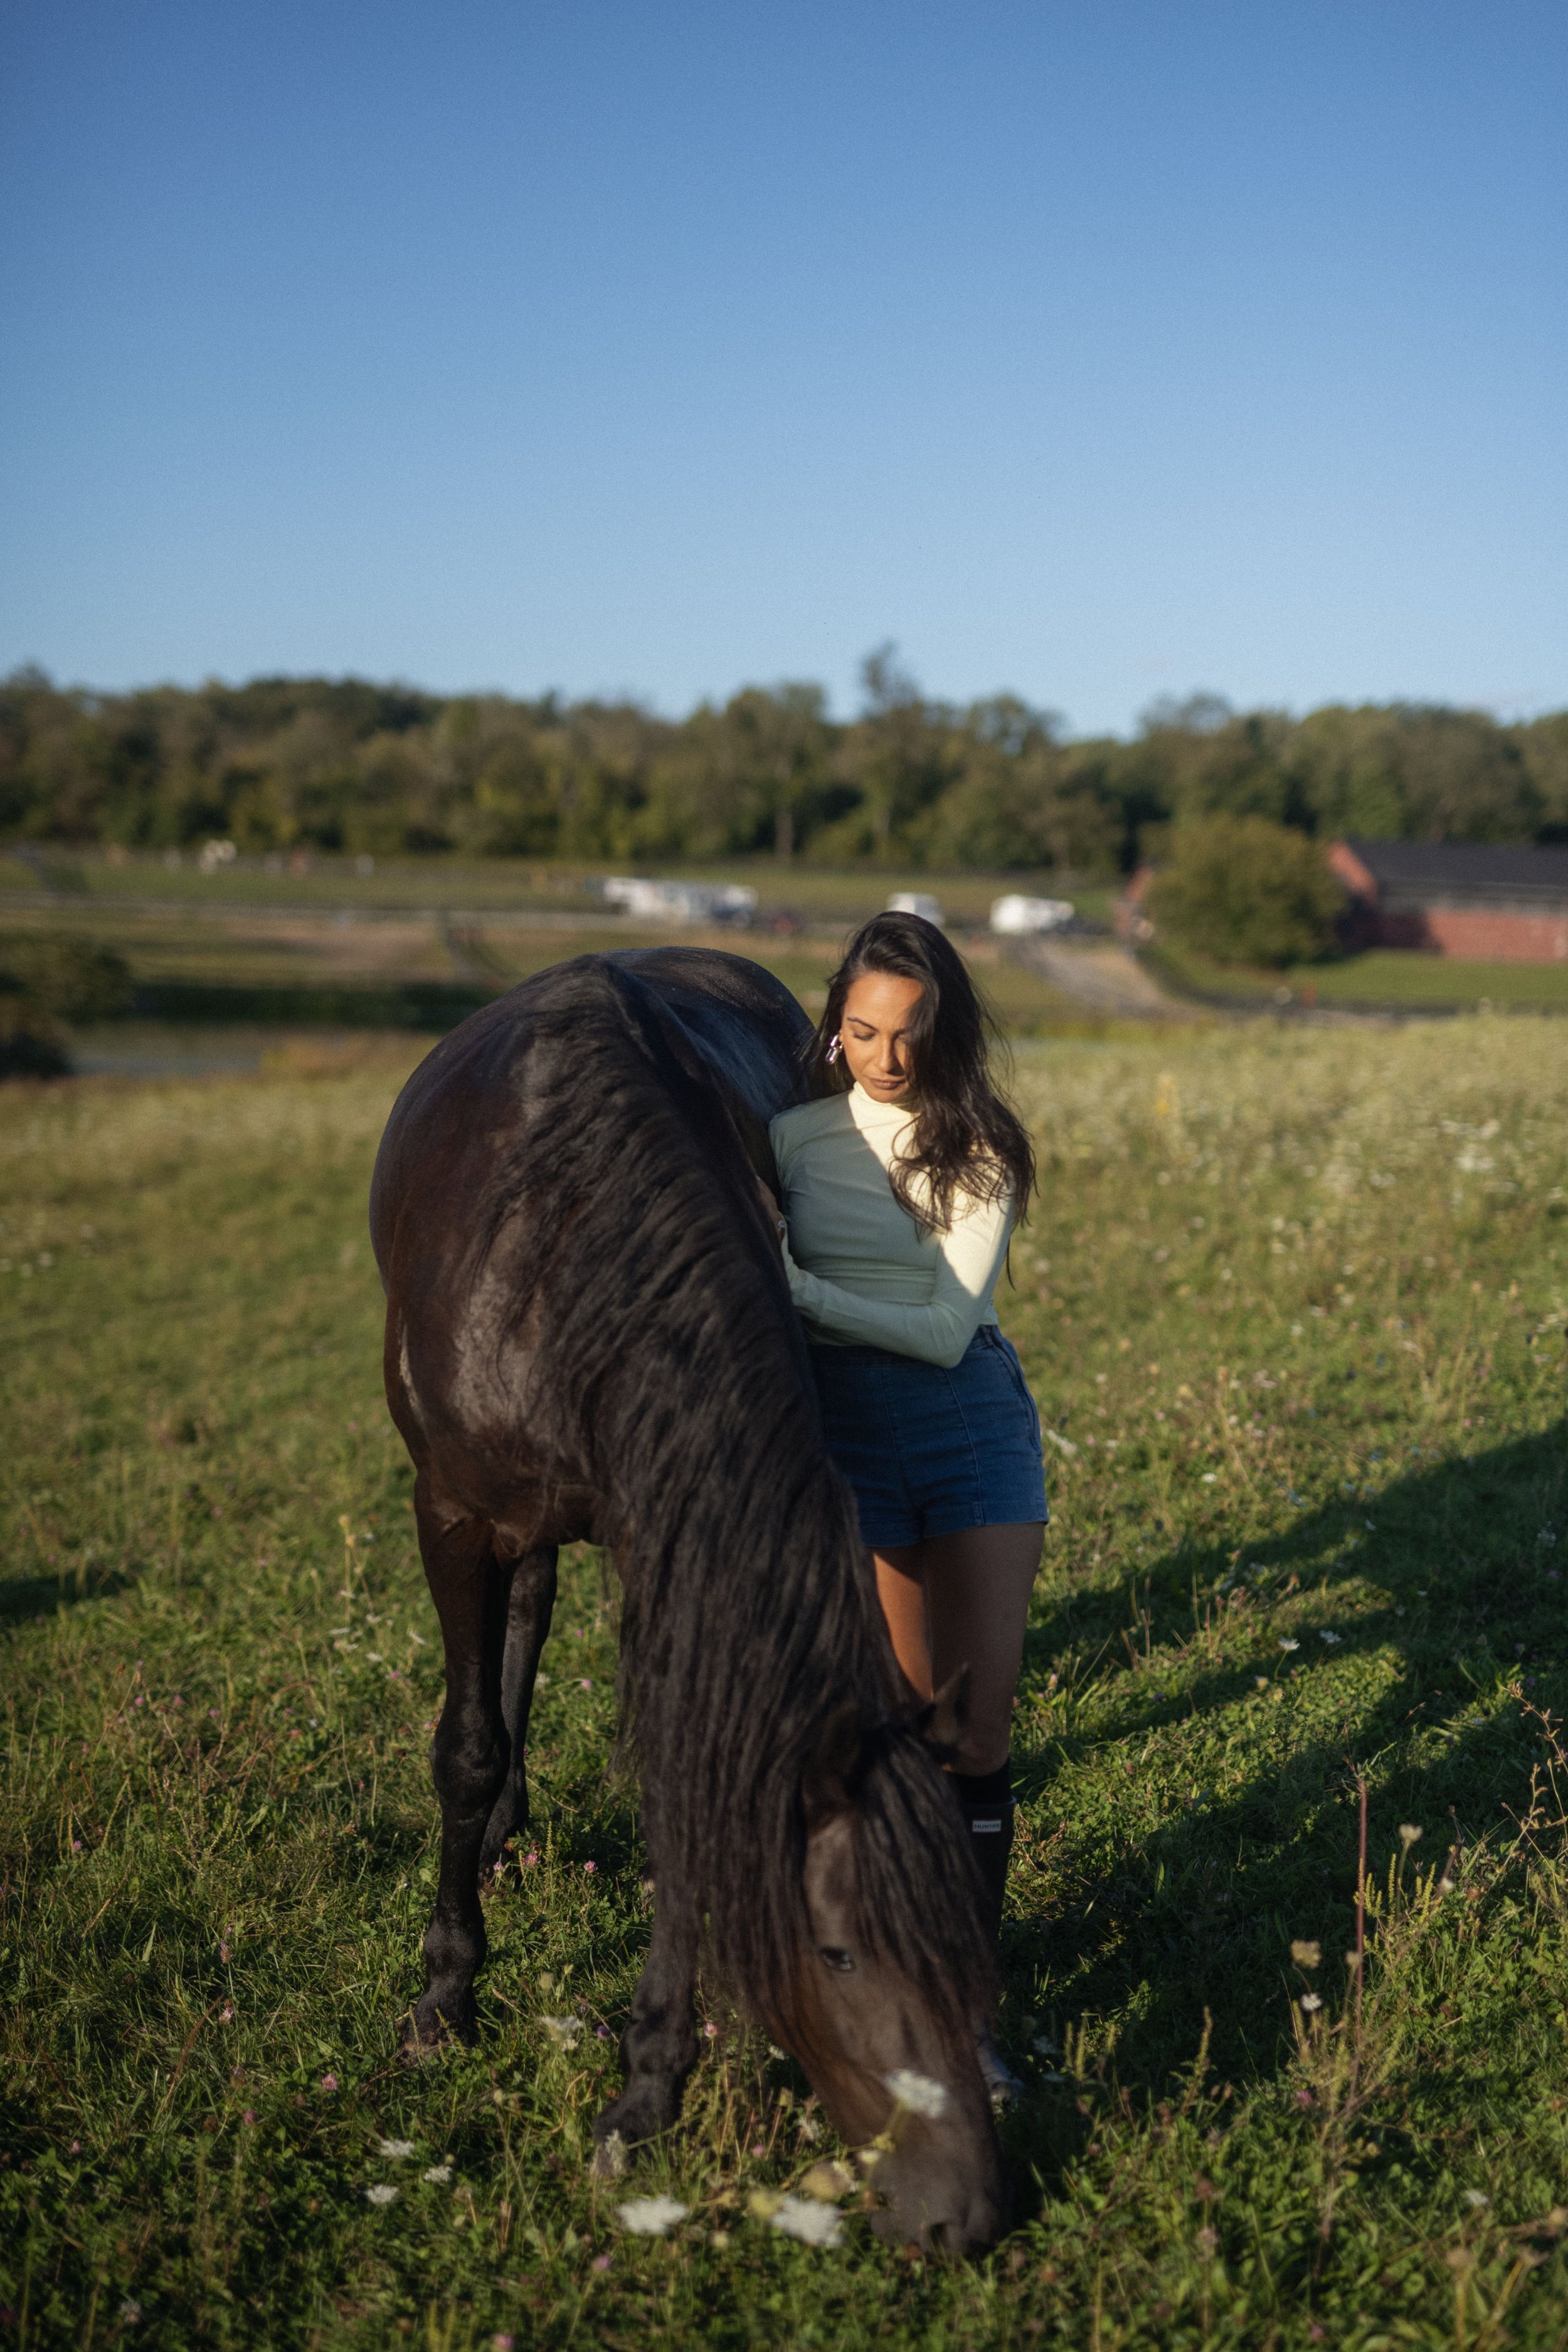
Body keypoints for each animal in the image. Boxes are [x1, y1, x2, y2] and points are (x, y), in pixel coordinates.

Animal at [369, 945, 1008, 2251]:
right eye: (840, 1954)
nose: (970, 2216)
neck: (559, 1245)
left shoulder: (661, 1523)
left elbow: (681, 1775)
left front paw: (646, 2086)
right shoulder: (451, 1515)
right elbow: (461, 1748)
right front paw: (446, 1993)